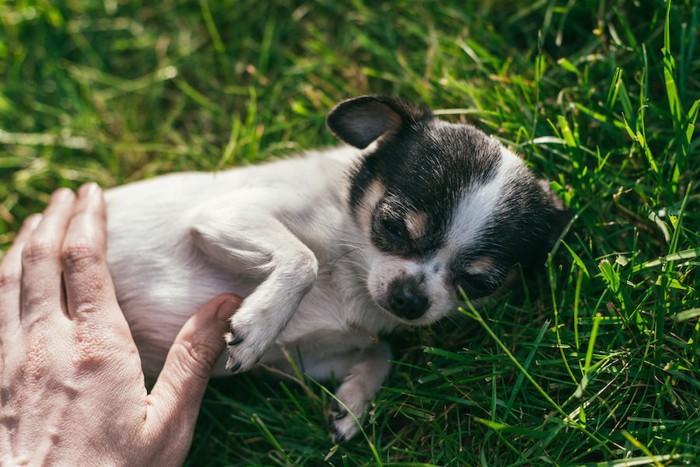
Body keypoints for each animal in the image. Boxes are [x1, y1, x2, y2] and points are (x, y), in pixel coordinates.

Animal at [106, 95, 572, 442]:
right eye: (392, 226)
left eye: (477, 282)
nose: (409, 299)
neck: (351, 273)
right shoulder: (226, 213)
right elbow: (303, 260)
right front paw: (259, 325)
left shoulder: (302, 359)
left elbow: (381, 350)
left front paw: (352, 404)